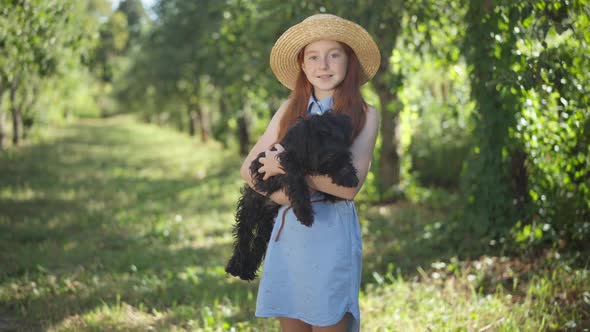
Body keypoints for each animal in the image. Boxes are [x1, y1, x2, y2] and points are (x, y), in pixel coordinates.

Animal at [225, 111, 358, 280]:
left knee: (258, 243)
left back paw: (247, 271)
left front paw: (347, 174)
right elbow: (297, 182)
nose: (332, 154)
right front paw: (305, 214)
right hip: (249, 209)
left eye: (334, 136)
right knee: (243, 237)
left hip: (266, 225)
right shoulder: (286, 162)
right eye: (315, 141)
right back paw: (236, 267)